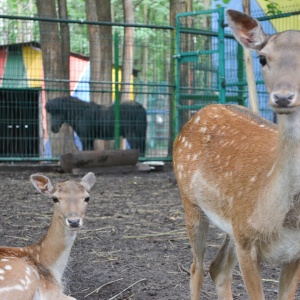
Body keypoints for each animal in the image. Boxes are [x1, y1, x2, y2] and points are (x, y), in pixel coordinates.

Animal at [173, 9, 300, 300]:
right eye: (262, 58)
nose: (283, 97)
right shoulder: (246, 241)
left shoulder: (295, 255)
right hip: (191, 203)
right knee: (196, 267)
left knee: (217, 268)